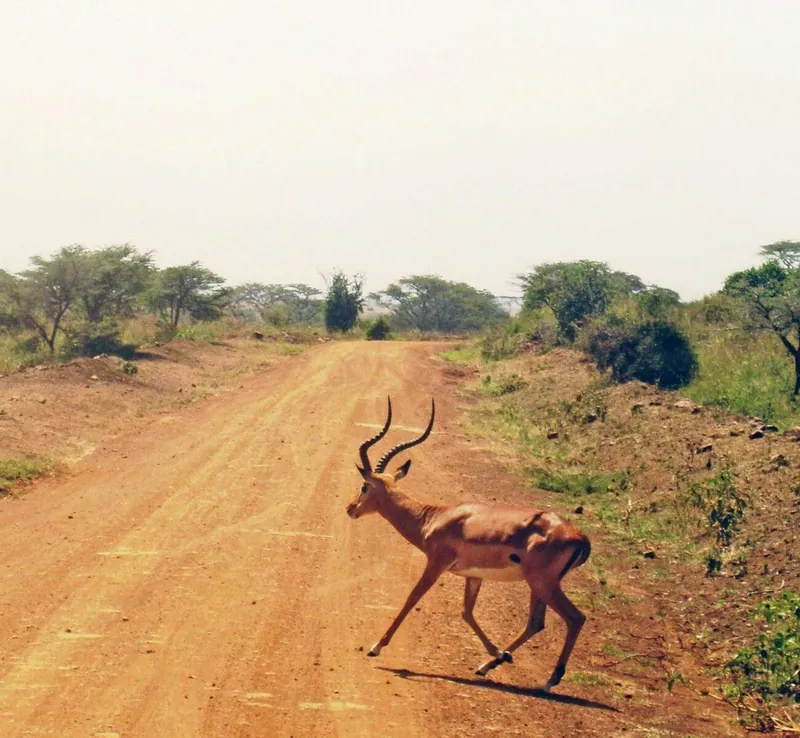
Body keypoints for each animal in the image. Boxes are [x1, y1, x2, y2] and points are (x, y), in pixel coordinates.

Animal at [347, 397, 591, 690]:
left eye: (364, 487)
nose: (350, 508)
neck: (434, 518)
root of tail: (580, 537)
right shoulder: (473, 576)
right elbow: (466, 612)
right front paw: (498, 653)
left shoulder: (436, 563)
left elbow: (412, 597)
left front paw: (376, 647)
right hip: (540, 586)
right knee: (536, 623)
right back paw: (489, 665)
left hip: (543, 583)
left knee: (575, 618)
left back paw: (549, 680)